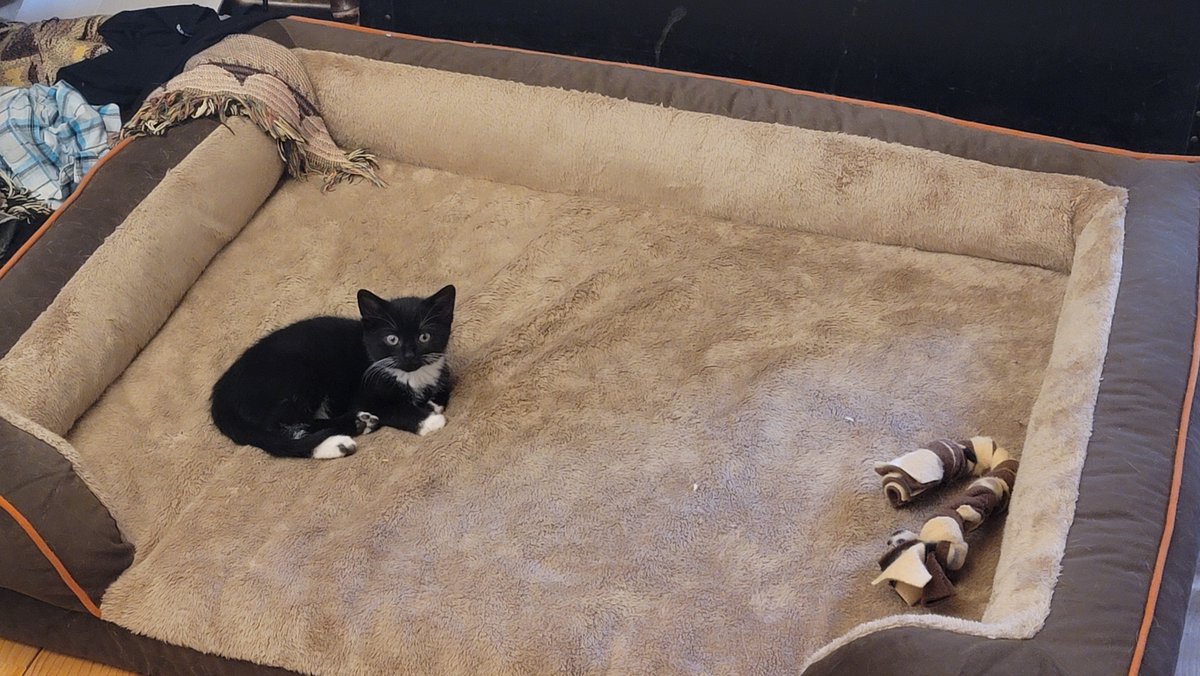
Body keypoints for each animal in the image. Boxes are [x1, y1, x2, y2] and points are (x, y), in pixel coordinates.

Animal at [211, 285, 453, 461]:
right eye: (392, 339)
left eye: (424, 336)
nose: (409, 355)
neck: (410, 376)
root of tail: (222, 392)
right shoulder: (366, 390)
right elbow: (394, 409)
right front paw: (429, 421)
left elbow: (445, 386)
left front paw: (431, 403)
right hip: (297, 375)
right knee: (279, 428)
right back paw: (345, 435)